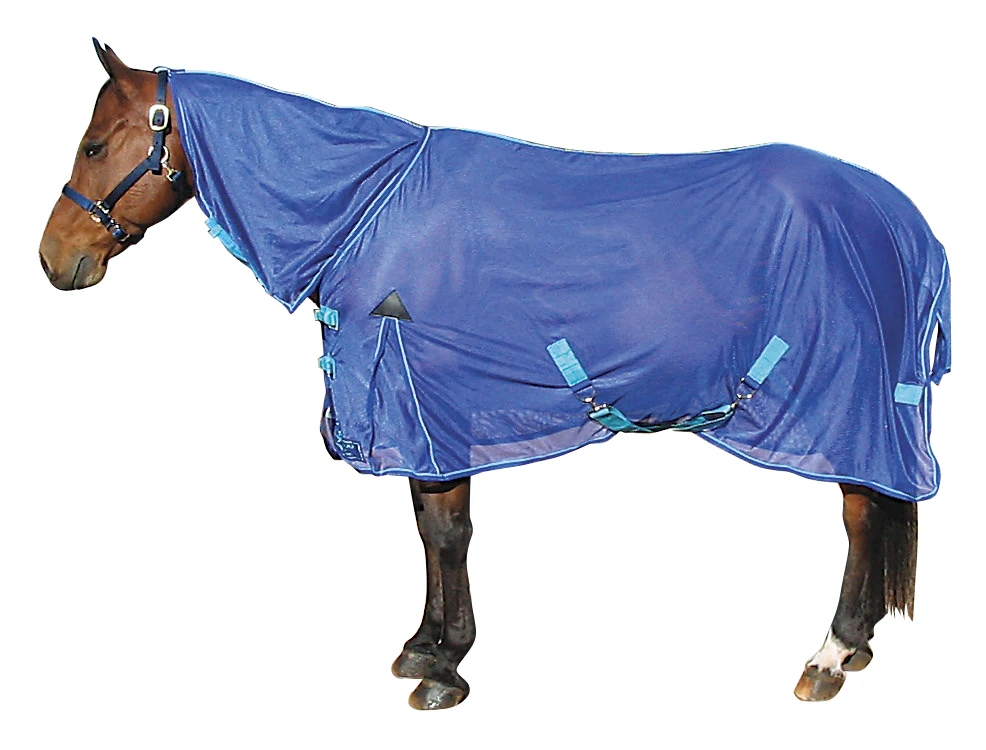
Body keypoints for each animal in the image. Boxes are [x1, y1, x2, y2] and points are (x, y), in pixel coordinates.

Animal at [38, 40, 949, 710]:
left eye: (94, 144)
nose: (54, 259)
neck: (366, 207)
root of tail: (903, 219)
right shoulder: (429, 420)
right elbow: (428, 531)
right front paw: (424, 646)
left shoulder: (426, 409)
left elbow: (447, 533)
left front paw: (444, 669)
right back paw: (856, 649)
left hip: (846, 407)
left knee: (861, 515)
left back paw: (831, 653)